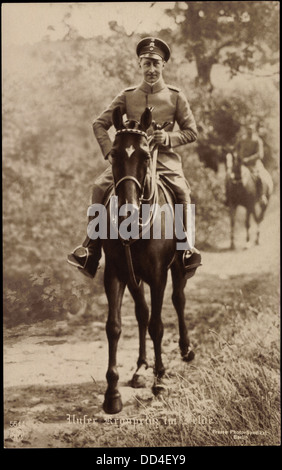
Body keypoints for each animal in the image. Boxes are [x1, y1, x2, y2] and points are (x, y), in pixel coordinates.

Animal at [100, 107, 195, 414]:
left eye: (144, 156)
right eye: (114, 154)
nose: (126, 210)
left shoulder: (158, 275)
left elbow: (157, 325)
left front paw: (160, 380)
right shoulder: (115, 275)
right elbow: (115, 327)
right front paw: (112, 394)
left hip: (177, 268)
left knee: (178, 300)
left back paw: (185, 349)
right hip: (134, 278)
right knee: (141, 313)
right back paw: (141, 368)